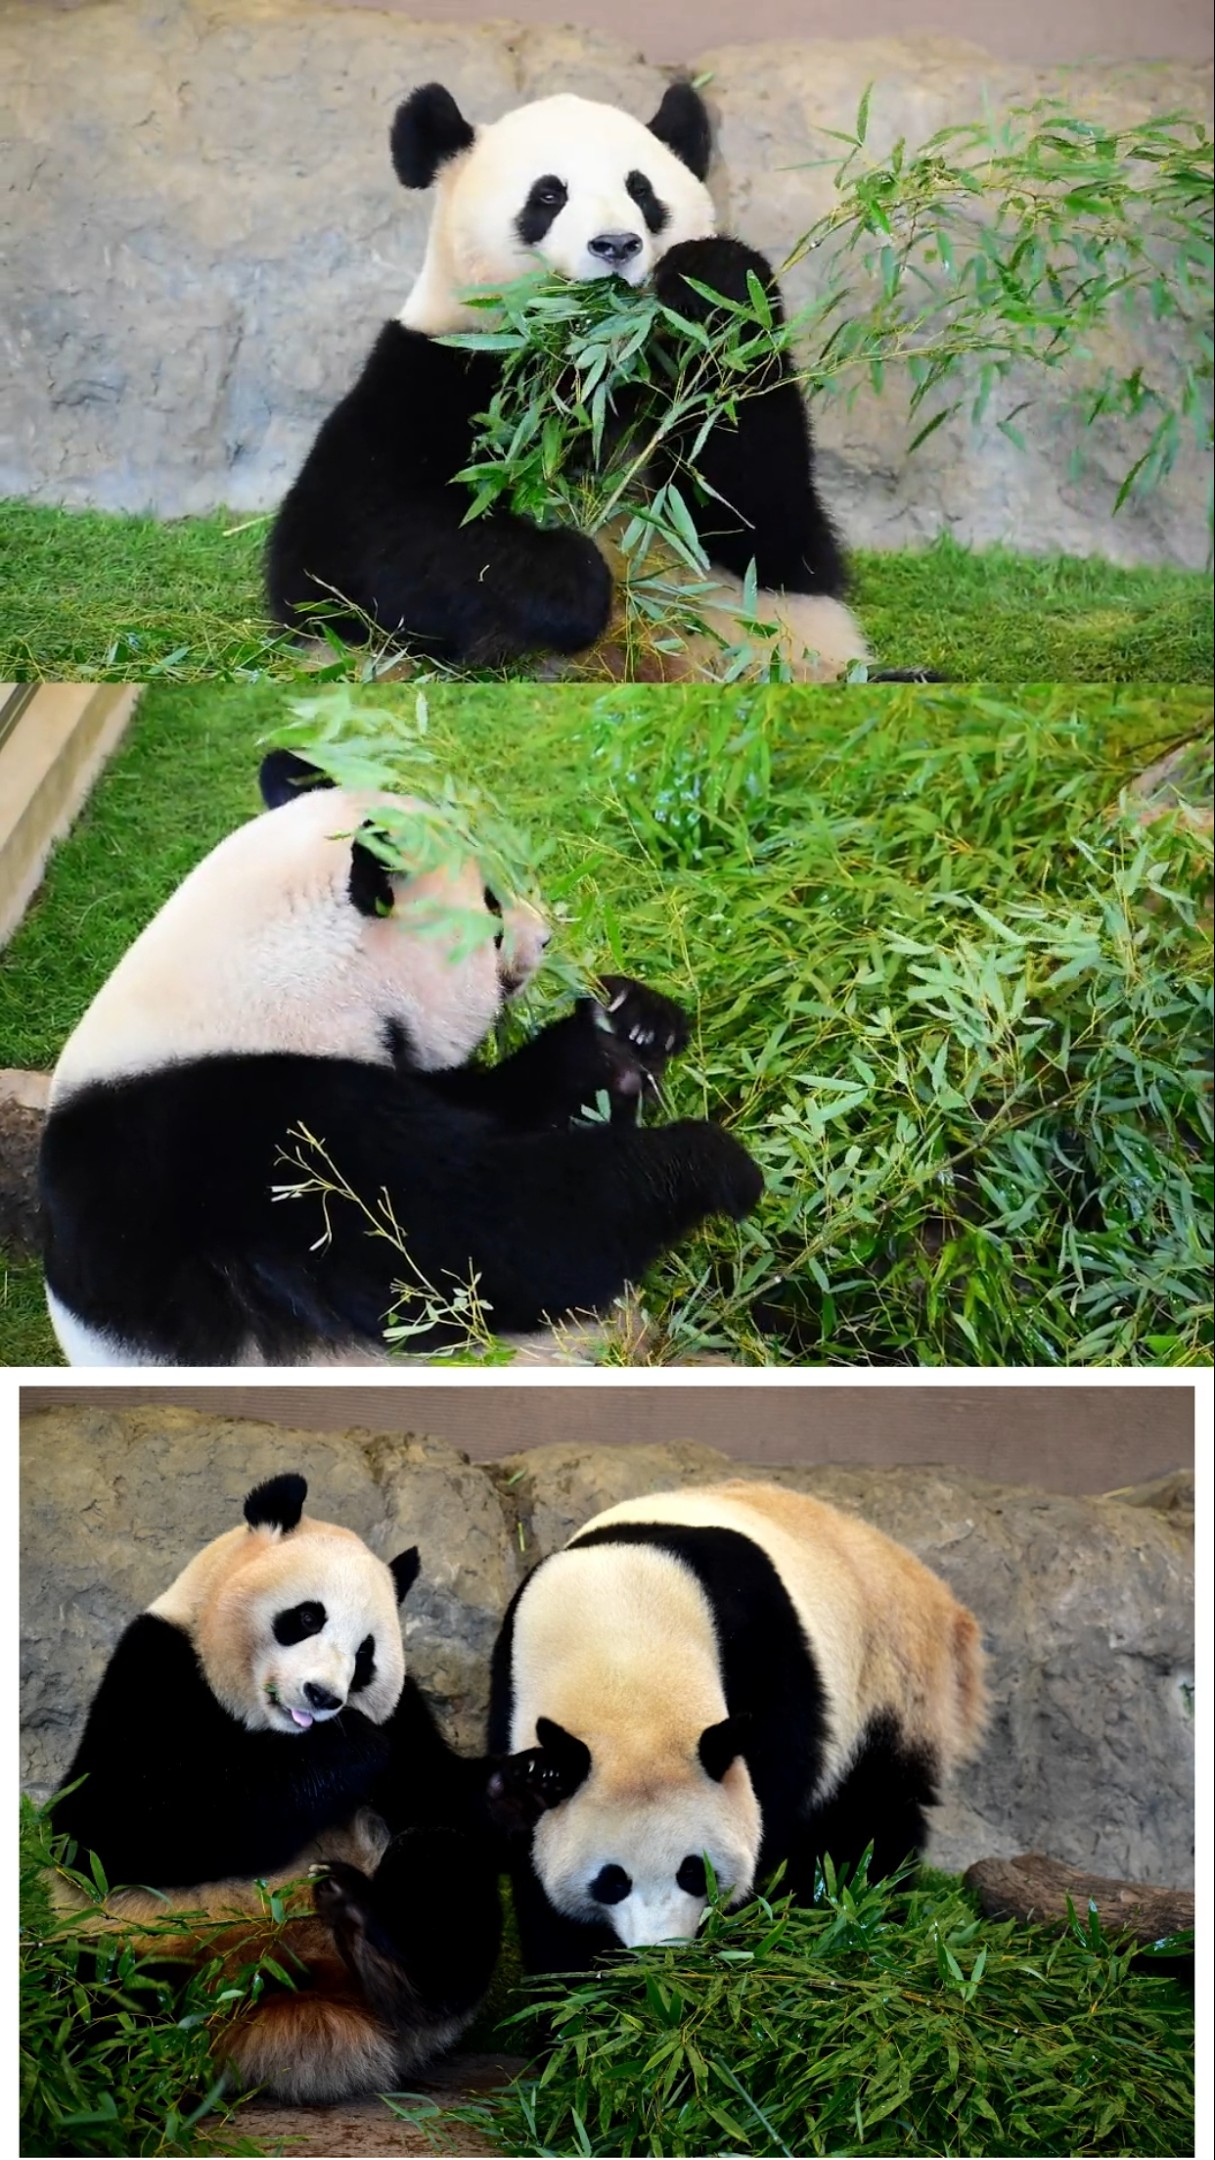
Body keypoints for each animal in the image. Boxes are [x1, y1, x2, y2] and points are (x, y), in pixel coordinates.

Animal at [39, 747, 761, 1367]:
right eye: (491, 906)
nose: (545, 936)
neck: (267, 978)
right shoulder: (247, 1140)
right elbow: (468, 1246)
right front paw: (712, 1162)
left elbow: (499, 1105)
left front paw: (630, 1025)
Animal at [50, 1472, 503, 2104]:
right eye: (307, 1618)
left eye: (366, 1654)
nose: (324, 1696)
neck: (281, 1737)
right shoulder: (153, 1668)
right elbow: (115, 1825)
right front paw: (351, 1748)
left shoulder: (407, 1714)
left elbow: (438, 1793)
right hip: (128, 1944)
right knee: (90, 1999)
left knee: (443, 1866)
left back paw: (380, 1949)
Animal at [266, 80, 869, 681]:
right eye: (549, 196)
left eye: (641, 190)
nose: (616, 245)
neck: (585, 362)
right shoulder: (435, 370)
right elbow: (349, 545)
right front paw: (573, 581)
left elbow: (761, 521)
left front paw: (711, 279)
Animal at [486, 1481, 986, 1972]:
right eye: (612, 1881)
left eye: (693, 1870)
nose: (660, 1952)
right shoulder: (511, 1685)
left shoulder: (765, 1646)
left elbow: (776, 1790)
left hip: (891, 1678)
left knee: (872, 1813)